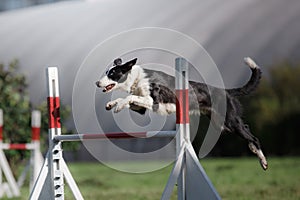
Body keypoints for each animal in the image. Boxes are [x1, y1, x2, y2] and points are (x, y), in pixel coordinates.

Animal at [95, 57, 268, 170]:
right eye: (106, 72)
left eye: (112, 74)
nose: (97, 83)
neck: (137, 78)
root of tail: (226, 91)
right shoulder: (141, 108)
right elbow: (126, 98)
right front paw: (112, 104)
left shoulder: (153, 102)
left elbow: (129, 97)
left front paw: (117, 107)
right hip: (222, 123)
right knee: (247, 129)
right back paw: (254, 151)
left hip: (229, 121)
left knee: (253, 136)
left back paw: (263, 161)